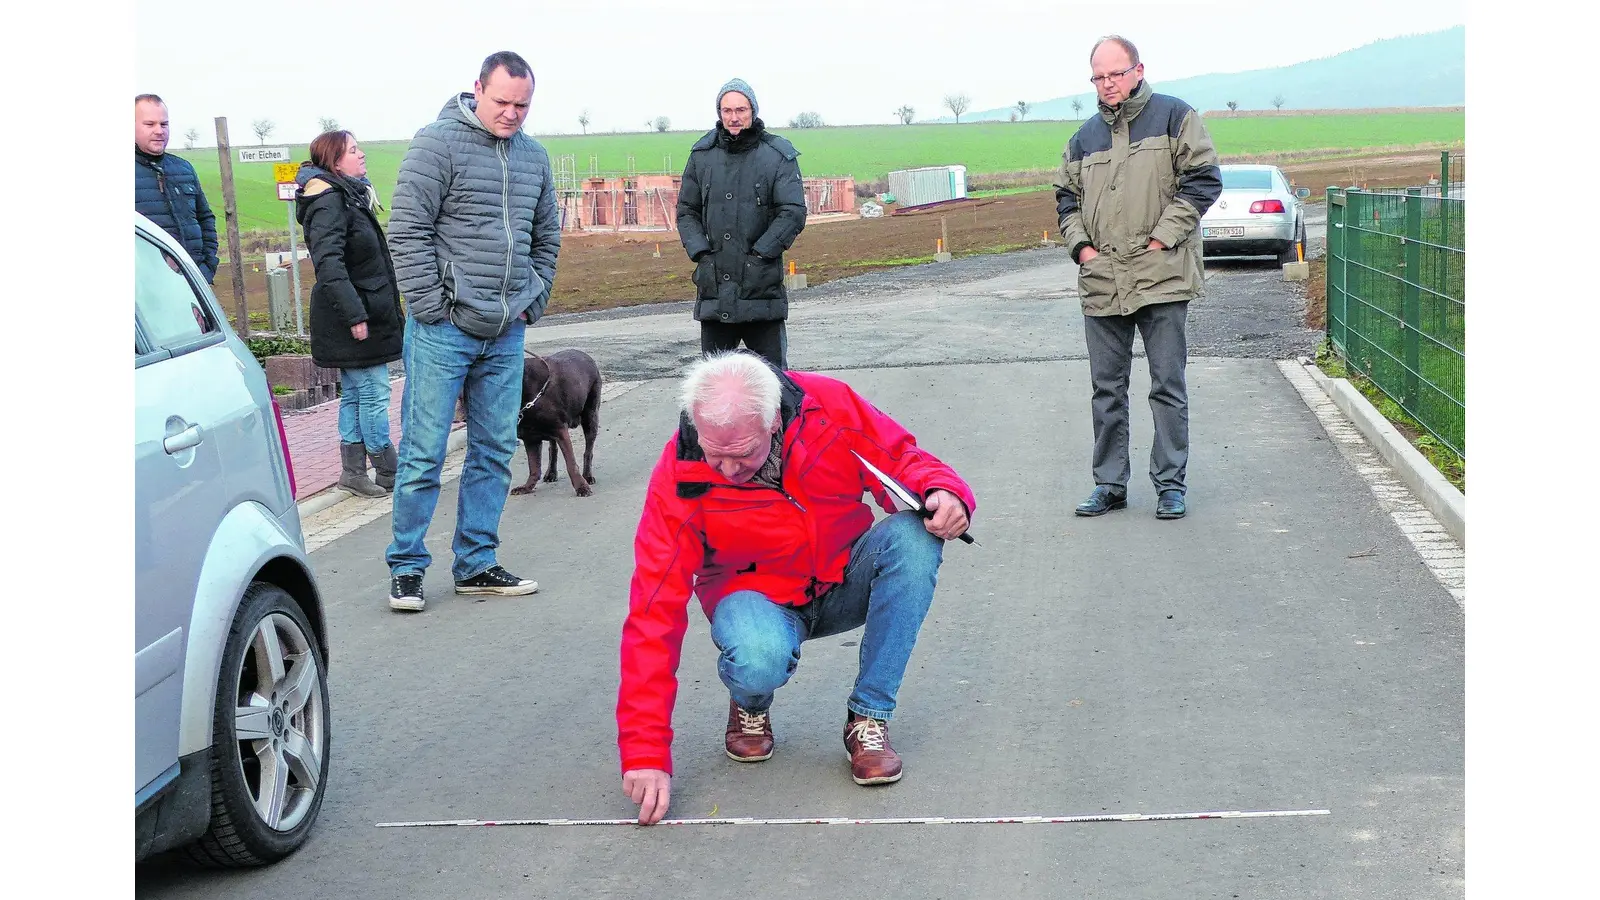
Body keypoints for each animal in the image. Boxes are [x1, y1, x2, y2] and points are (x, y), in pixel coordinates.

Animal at [515, 347, 601, 493]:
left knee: (588, 451)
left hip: (590, 417)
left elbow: (571, 464)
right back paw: (551, 473)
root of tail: (586, 356)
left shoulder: (560, 431)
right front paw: (527, 487)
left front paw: (581, 487)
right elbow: (534, 468)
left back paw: (587, 476)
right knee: (553, 449)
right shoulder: (530, 438)